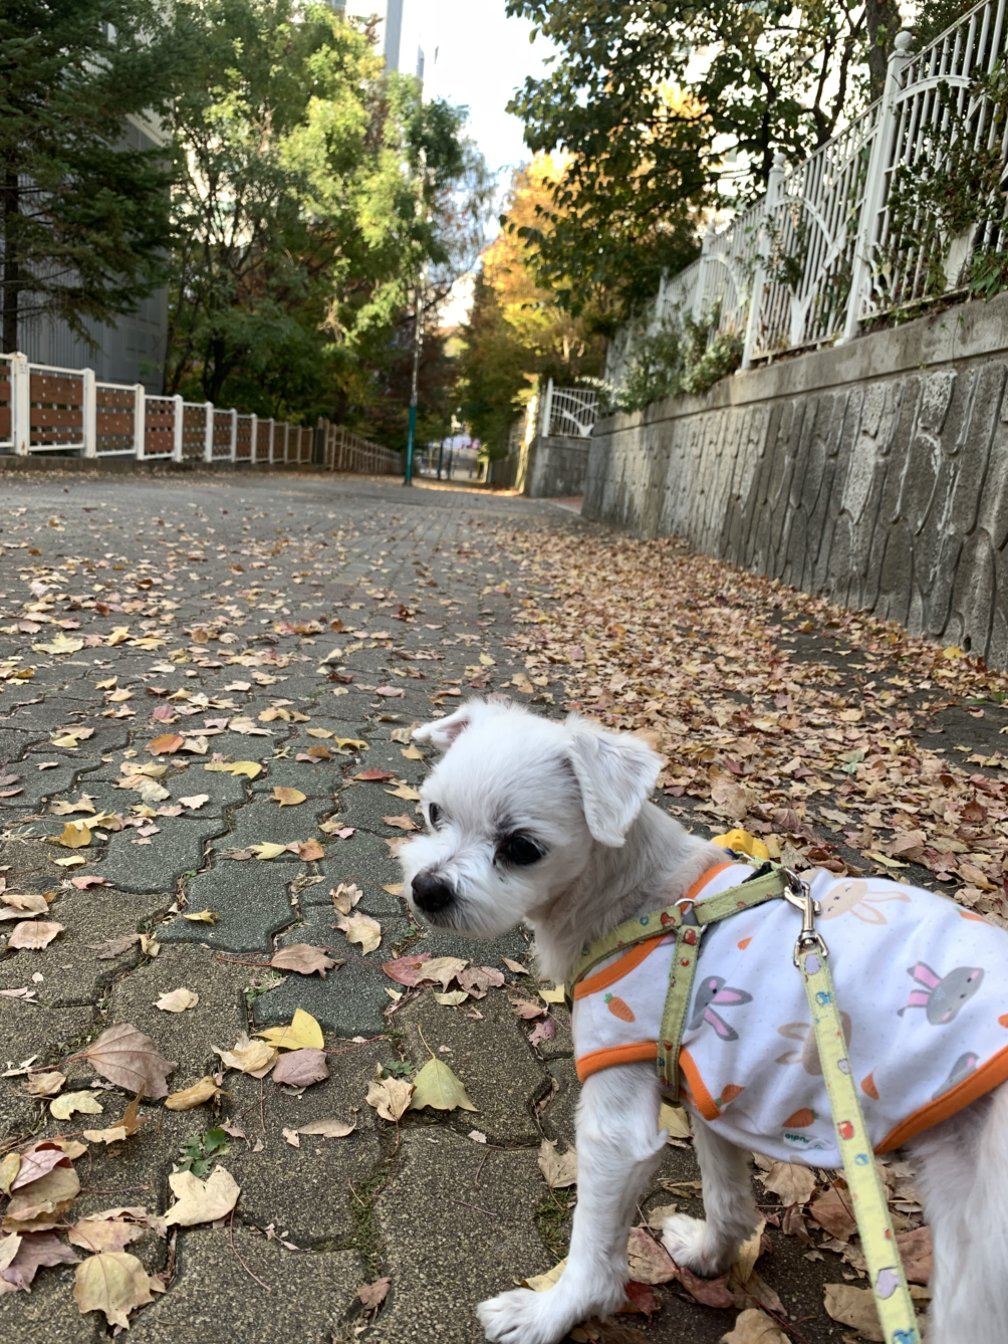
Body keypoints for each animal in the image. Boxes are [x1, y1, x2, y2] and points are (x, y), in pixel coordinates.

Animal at [399, 698, 1008, 1344]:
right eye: (434, 811)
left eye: (520, 847)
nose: (427, 889)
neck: (643, 901)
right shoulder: (715, 1085)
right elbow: (729, 1198)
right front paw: (712, 1253)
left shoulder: (620, 1109)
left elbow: (595, 1242)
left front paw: (553, 1312)